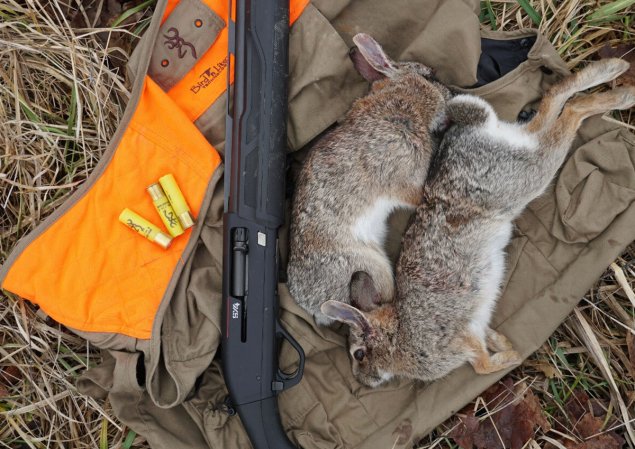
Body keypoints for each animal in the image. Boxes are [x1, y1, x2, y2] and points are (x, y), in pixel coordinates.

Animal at [288, 33, 452, 324]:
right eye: (430, 76)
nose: (452, 95)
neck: (402, 100)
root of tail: (313, 306)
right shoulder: (404, 173)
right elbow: (416, 192)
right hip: (372, 265)